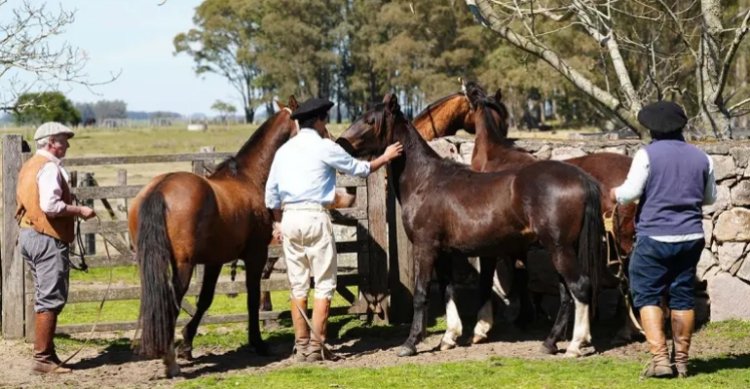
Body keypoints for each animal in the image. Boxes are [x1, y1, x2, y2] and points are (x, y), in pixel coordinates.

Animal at [129, 94, 300, 376]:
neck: (248, 178)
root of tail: (161, 188)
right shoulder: (255, 255)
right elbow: (252, 296)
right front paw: (257, 342)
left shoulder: (214, 260)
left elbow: (205, 299)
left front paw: (187, 344)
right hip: (183, 265)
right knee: (171, 301)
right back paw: (169, 361)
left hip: (150, 262)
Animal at [338, 92, 608, 356]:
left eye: (370, 121)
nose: (341, 142)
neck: (425, 180)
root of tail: (582, 178)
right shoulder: (443, 252)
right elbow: (447, 290)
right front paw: (449, 337)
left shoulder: (425, 248)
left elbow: (421, 293)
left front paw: (410, 343)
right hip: (564, 249)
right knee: (566, 292)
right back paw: (550, 343)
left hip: (559, 248)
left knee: (580, 286)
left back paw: (575, 345)